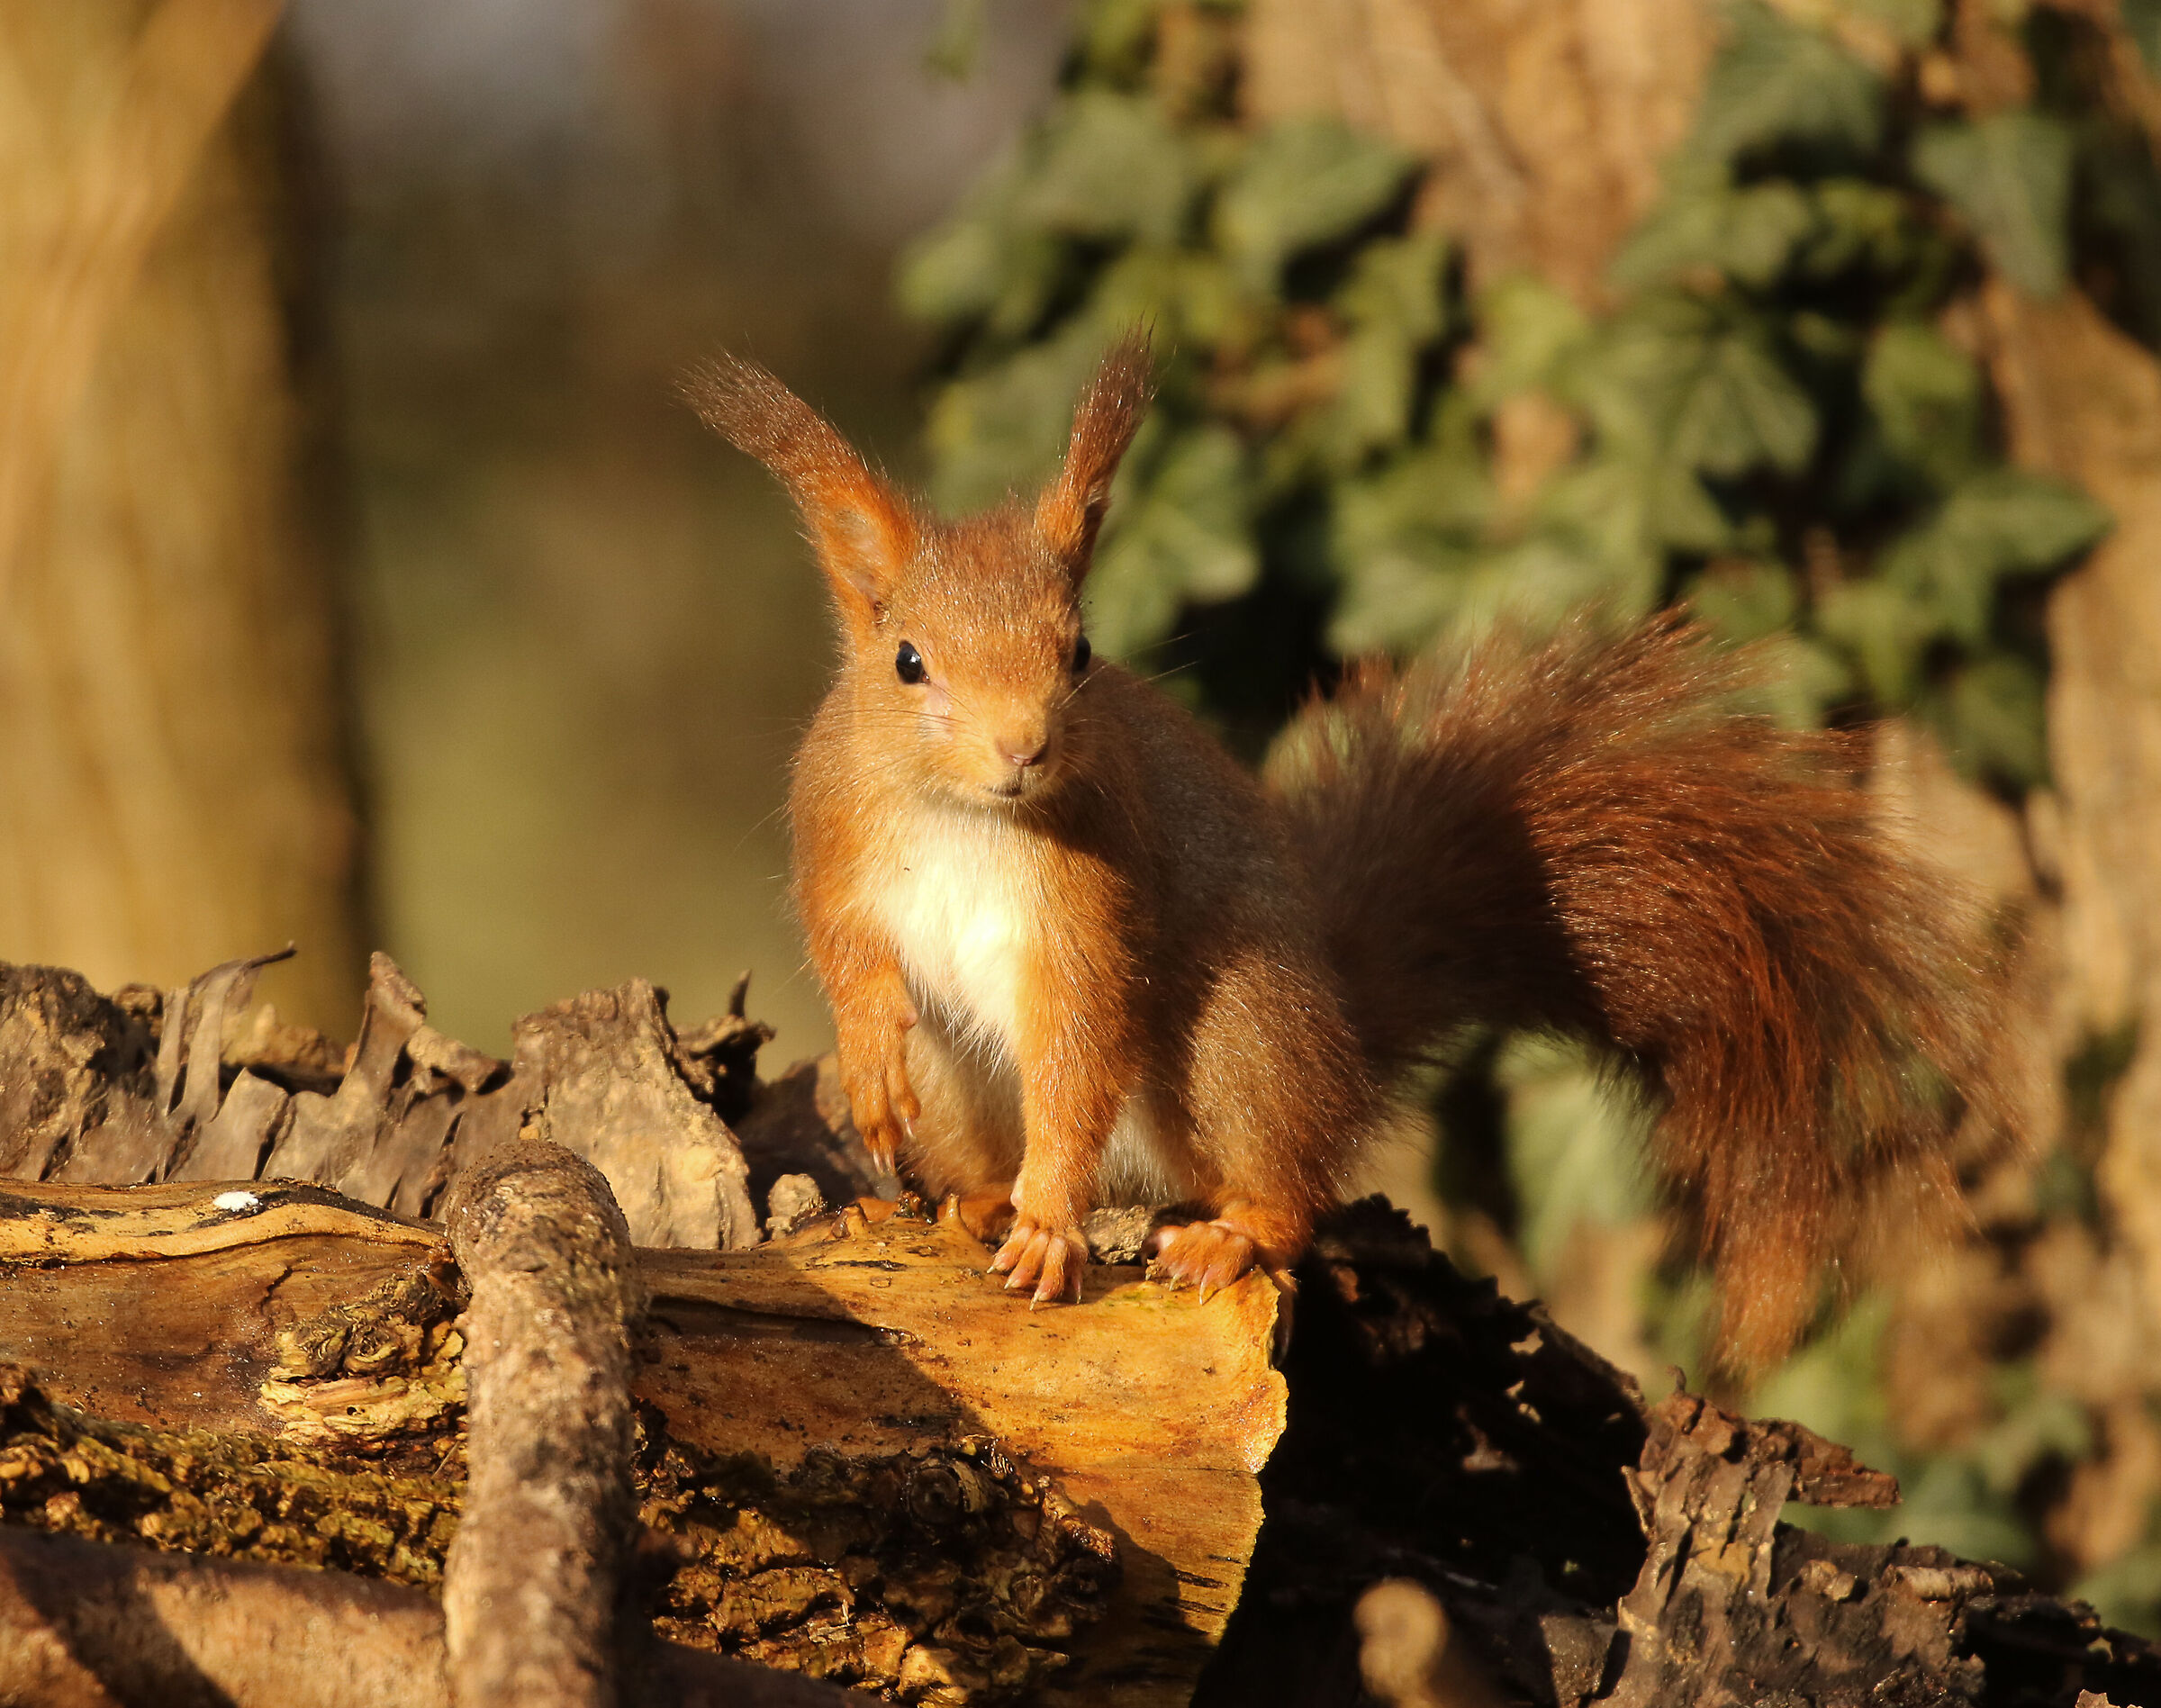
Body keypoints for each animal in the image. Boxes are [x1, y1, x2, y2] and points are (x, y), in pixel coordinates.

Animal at [690, 330, 1983, 1369]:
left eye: (1082, 651)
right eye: (907, 661)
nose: (1025, 746)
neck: (971, 817)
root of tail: (1343, 1039)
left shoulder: (1090, 900)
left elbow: (1079, 1047)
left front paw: (1053, 1220)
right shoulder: (836, 839)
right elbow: (849, 959)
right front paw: (872, 1070)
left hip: (1238, 1046)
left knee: (1293, 1195)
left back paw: (1218, 1236)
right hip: (976, 1091)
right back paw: (970, 1205)